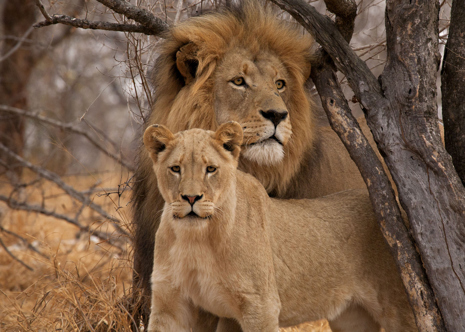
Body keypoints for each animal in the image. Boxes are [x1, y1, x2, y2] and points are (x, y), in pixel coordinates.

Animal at [142, 123, 416, 332]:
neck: (194, 239)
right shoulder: (170, 303)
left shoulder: (261, 306)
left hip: (402, 309)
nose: (190, 198)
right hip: (352, 318)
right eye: (175, 169)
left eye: (211, 169)